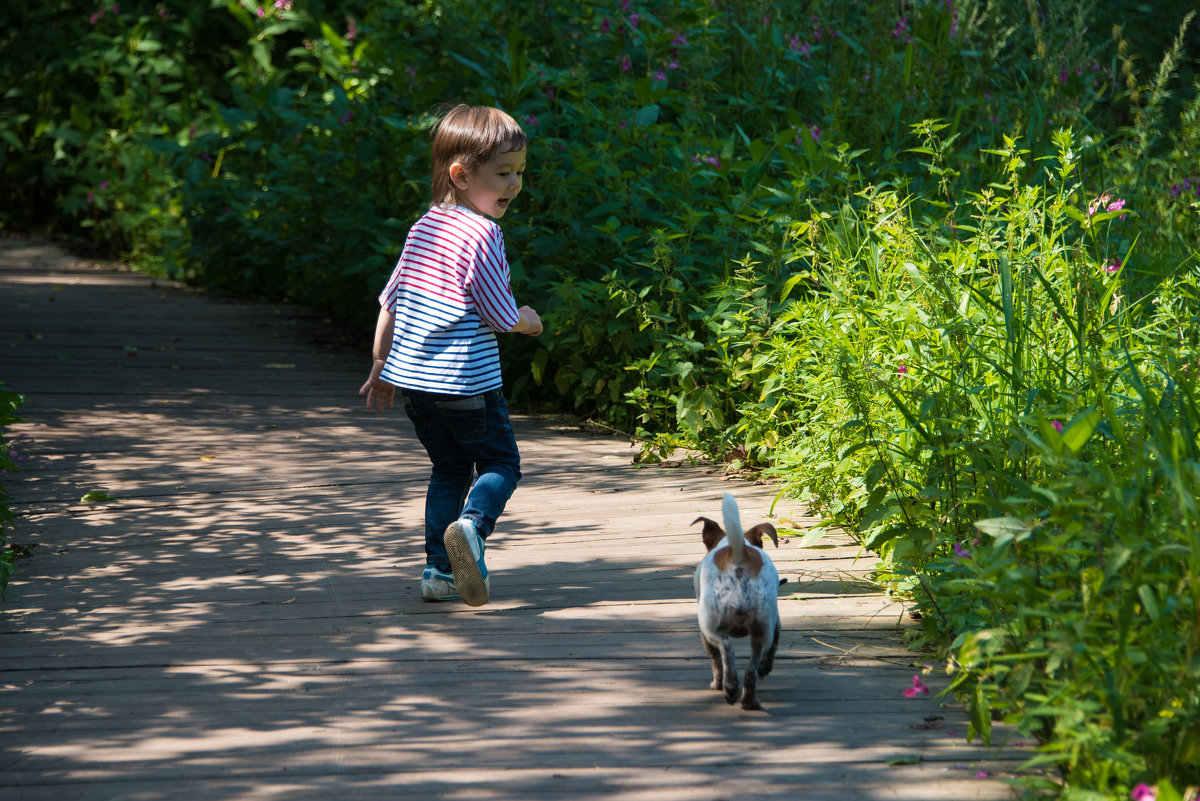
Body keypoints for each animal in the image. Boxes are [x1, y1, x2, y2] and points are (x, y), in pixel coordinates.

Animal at [696, 491, 777, 709]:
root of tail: (738, 558)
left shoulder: (704, 634)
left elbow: (715, 661)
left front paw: (716, 684)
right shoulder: (776, 624)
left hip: (711, 626)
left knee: (726, 650)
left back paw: (730, 687)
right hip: (762, 631)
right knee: (751, 670)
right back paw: (748, 700)